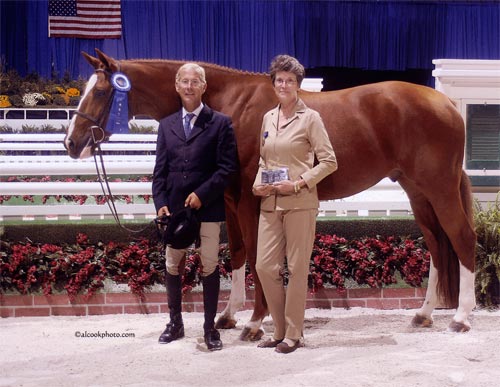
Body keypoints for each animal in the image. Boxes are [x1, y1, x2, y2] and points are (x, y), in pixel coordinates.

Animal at [65, 50, 476, 336]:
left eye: (100, 91)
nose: (72, 143)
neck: (230, 106)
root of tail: (446, 104)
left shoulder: (250, 200)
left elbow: (257, 254)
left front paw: (255, 321)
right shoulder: (229, 202)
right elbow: (237, 255)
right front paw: (229, 315)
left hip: (439, 189)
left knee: (462, 239)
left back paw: (460, 318)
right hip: (417, 192)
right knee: (437, 245)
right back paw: (424, 314)